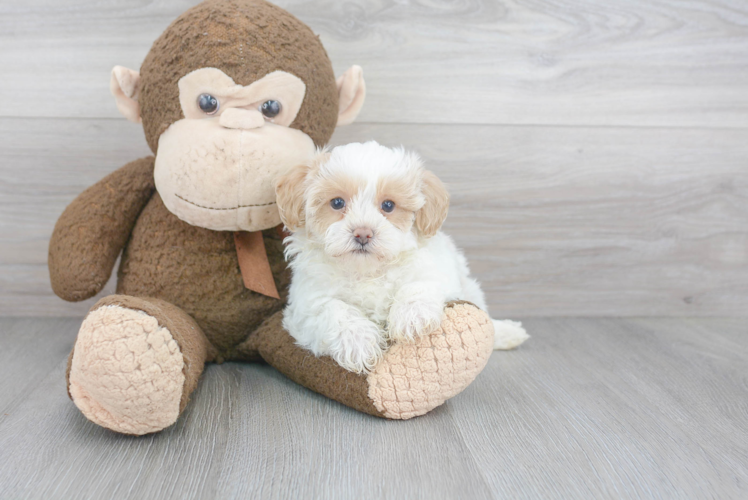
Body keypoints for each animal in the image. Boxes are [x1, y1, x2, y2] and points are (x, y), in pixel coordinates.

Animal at [274, 143, 524, 374]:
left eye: (388, 205)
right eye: (337, 203)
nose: (363, 233)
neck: (368, 271)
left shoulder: (438, 272)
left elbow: (419, 284)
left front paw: (412, 316)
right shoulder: (306, 305)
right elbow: (334, 310)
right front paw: (358, 341)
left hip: (470, 287)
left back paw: (506, 333)